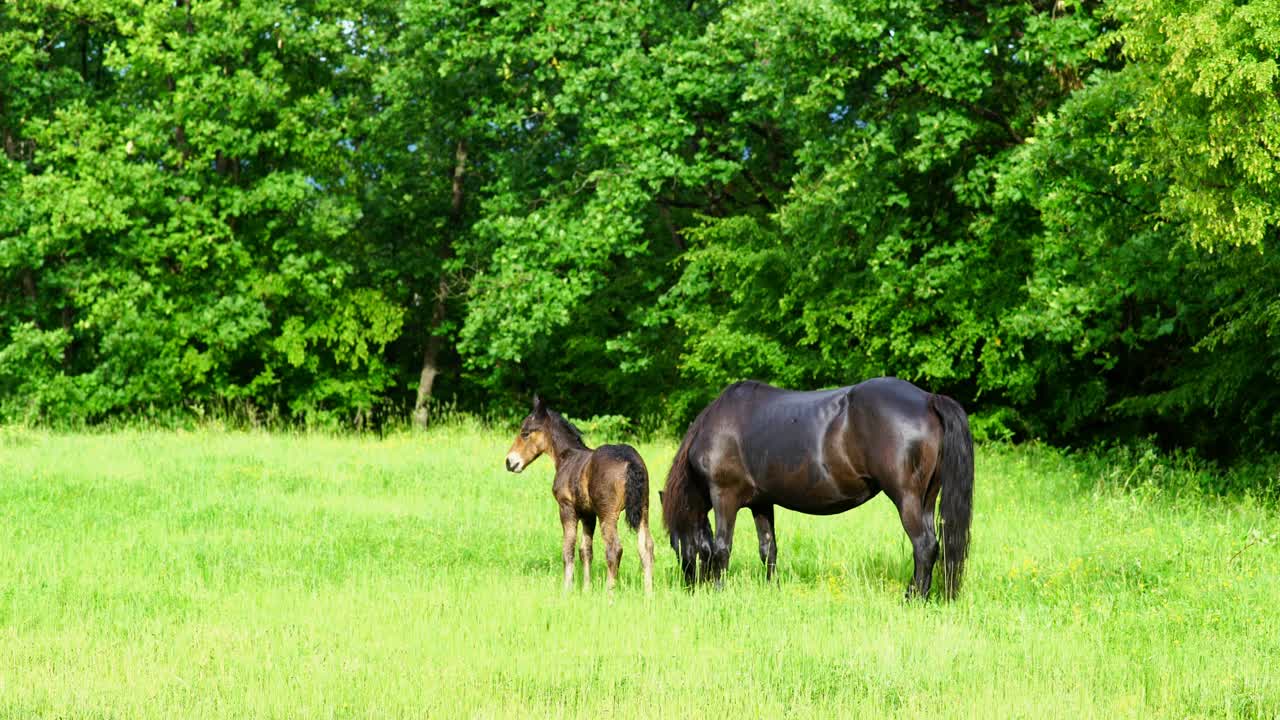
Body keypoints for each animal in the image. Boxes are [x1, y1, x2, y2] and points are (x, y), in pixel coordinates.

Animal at [504, 394, 655, 591]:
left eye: (525, 433)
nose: (509, 462)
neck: (567, 456)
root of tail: (631, 461)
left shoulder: (567, 508)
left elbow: (568, 550)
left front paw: (567, 588)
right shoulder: (588, 514)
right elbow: (586, 551)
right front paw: (586, 589)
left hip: (608, 514)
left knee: (614, 549)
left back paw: (609, 592)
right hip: (643, 510)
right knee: (646, 547)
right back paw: (649, 593)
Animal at [665, 376, 972, 594]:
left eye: (675, 545)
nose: (692, 588)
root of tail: (928, 399)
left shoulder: (724, 496)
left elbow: (721, 547)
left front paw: (719, 591)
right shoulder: (761, 503)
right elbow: (768, 549)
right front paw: (772, 589)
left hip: (906, 498)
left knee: (924, 545)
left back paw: (913, 597)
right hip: (926, 499)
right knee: (934, 545)